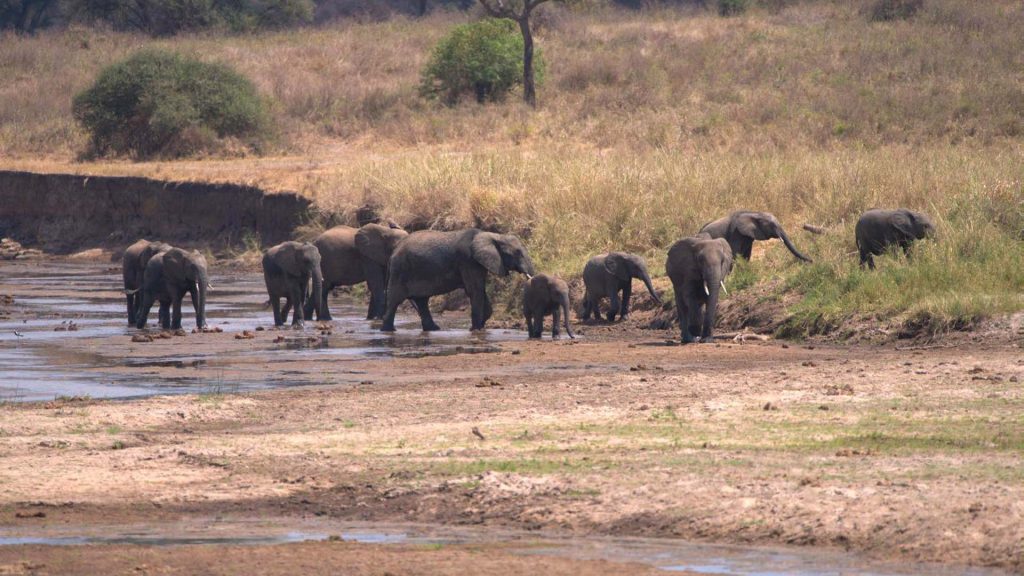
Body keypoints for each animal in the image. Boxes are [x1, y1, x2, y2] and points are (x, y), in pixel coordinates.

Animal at [381, 228, 535, 332]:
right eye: (516, 253)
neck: (492, 235)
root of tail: (393, 252)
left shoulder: (478, 263)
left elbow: (480, 290)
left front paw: (480, 325)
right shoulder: (468, 260)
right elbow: (474, 291)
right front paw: (475, 329)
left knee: (422, 301)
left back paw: (434, 329)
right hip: (400, 270)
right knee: (394, 300)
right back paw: (388, 330)